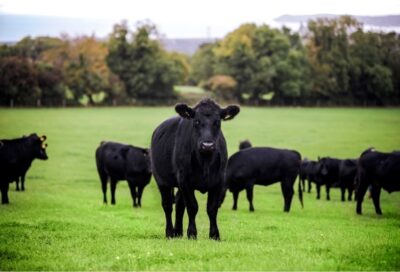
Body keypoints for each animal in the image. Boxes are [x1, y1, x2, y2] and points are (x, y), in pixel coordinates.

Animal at [149, 99, 238, 239]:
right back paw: (170, 233)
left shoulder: (219, 181)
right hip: (161, 180)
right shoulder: (185, 180)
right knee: (167, 205)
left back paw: (178, 232)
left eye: (218, 122)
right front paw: (192, 233)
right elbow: (192, 207)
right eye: (196, 121)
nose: (207, 145)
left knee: (179, 204)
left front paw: (214, 235)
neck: (205, 163)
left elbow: (212, 208)